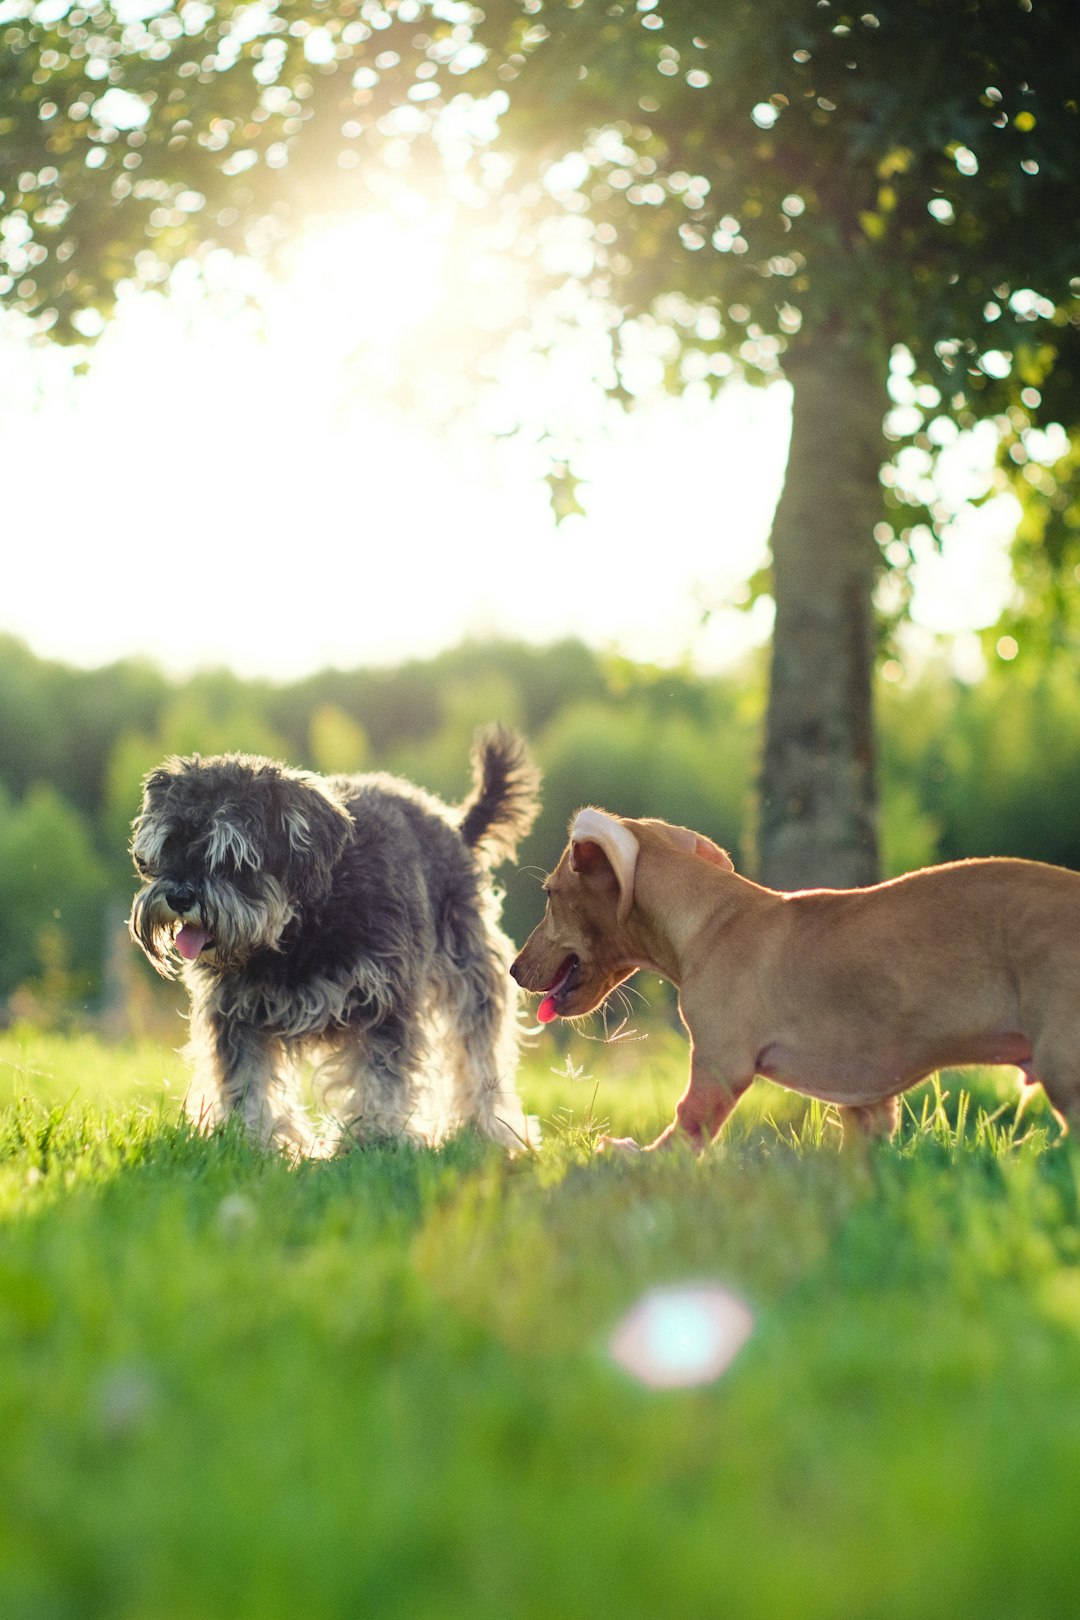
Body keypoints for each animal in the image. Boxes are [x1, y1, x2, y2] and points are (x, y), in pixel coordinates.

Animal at [131, 729, 544, 1159]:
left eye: (231, 856)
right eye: (168, 846)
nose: (180, 896)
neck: (299, 927)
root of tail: (452, 826)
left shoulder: (383, 1003)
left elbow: (380, 1078)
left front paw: (375, 1139)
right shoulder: (238, 1014)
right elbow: (247, 1080)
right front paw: (252, 1141)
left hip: (471, 980)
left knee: (478, 1058)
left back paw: (490, 1130)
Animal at [511, 810, 1080, 1153]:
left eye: (548, 893)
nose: (514, 969)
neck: (714, 917)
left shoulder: (720, 1065)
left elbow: (683, 1128)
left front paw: (633, 1156)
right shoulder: (868, 1101)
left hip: (1063, 1060)